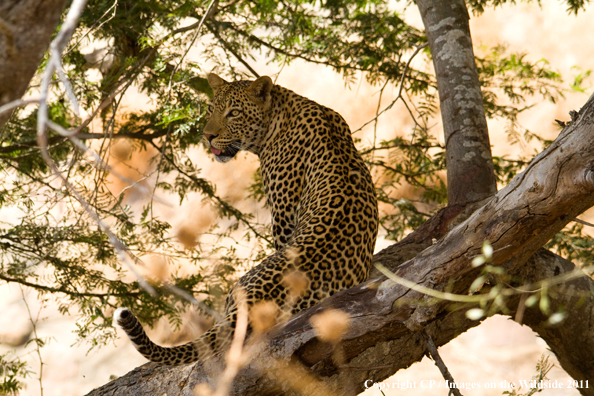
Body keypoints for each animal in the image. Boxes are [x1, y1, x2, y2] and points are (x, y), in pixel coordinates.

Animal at [113, 73, 376, 366]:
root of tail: (251, 302)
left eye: (234, 113)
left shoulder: (283, 220)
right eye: (210, 109)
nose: (208, 136)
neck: (280, 111)